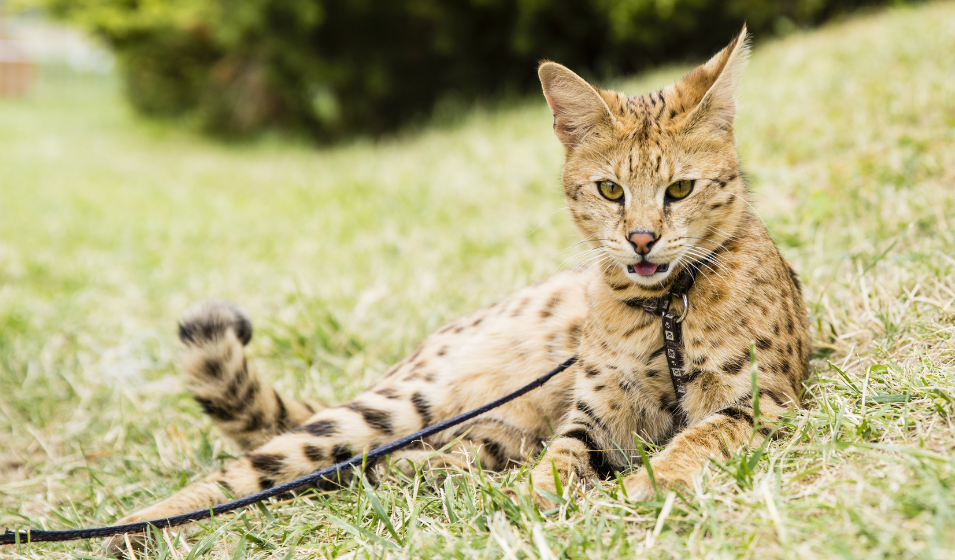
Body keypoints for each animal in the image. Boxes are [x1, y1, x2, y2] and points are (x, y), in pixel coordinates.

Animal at [102, 26, 808, 552]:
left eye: (680, 189)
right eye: (610, 189)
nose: (640, 239)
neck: (664, 308)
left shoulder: (759, 401)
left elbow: (693, 441)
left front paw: (641, 490)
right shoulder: (596, 416)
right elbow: (564, 458)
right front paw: (539, 501)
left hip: (487, 426)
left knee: (409, 460)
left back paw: (423, 472)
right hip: (400, 404)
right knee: (250, 473)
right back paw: (132, 528)